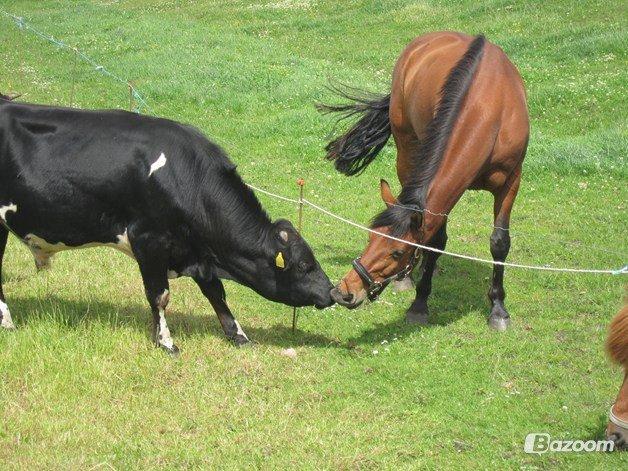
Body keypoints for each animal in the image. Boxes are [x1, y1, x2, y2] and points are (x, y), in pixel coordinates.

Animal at [0, 96, 334, 354]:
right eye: (304, 265)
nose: (332, 293)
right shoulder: (148, 239)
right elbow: (159, 295)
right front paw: (165, 342)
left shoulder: (195, 251)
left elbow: (216, 292)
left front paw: (238, 335)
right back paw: (8, 324)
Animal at [322, 32, 528, 332]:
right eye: (370, 236)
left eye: (397, 252)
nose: (344, 291)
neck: (491, 111)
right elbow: (436, 241)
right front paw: (420, 303)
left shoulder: (511, 181)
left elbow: (500, 242)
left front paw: (498, 309)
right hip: (407, 149)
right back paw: (407, 280)